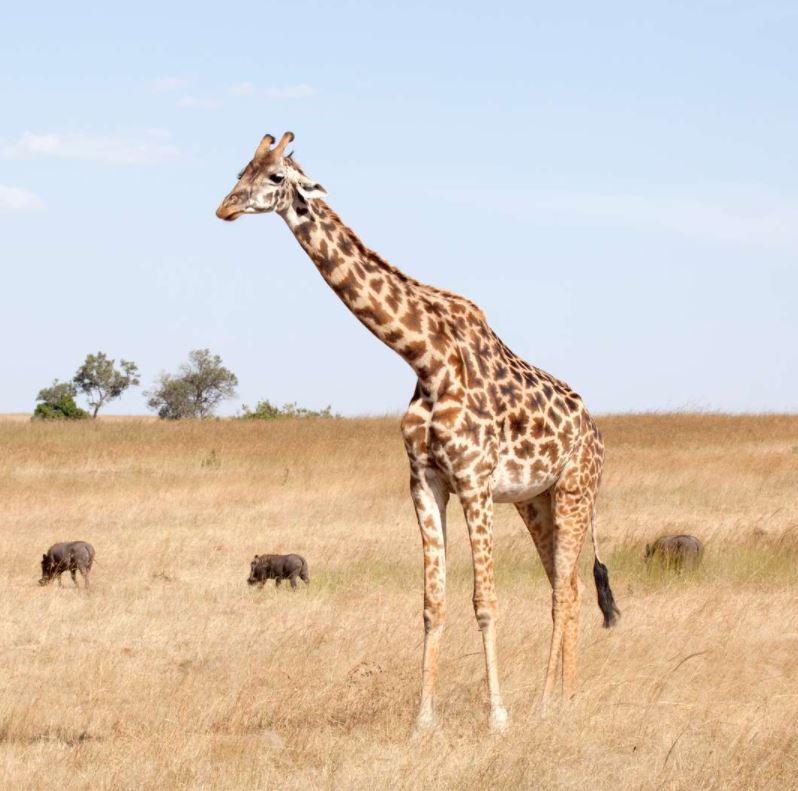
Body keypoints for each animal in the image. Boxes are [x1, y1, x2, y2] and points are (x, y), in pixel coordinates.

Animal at [216, 131, 620, 732]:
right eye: (242, 168)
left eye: (275, 177)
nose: (225, 208)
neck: (426, 358)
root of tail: (595, 432)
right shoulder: (426, 481)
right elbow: (433, 603)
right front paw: (422, 720)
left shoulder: (474, 482)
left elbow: (484, 601)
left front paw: (497, 716)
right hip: (537, 500)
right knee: (565, 585)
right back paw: (564, 699)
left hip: (574, 491)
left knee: (563, 594)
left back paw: (549, 703)